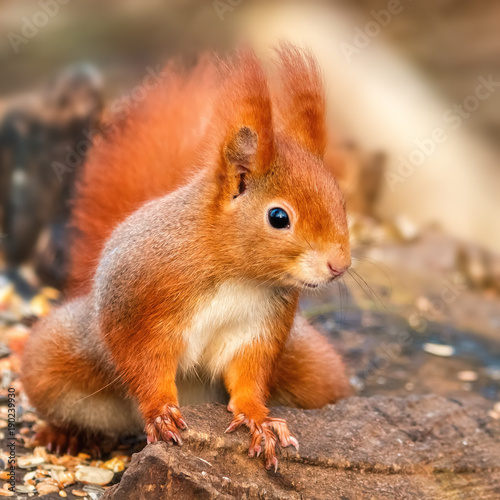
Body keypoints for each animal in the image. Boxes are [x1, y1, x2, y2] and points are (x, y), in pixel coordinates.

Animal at [21, 45, 352, 470]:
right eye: (279, 217)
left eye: (341, 201)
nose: (339, 265)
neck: (236, 273)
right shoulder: (139, 311)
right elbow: (145, 365)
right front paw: (161, 412)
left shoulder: (258, 328)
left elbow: (249, 376)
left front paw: (259, 420)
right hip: (60, 356)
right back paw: (64, 434)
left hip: (313, 369)